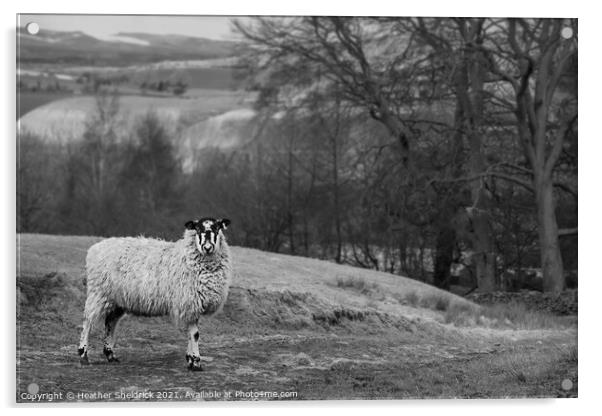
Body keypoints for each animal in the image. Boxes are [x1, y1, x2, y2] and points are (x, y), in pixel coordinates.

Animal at [77, 218, 232, 370]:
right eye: (198, 229)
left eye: (217, 228)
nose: (207, 247)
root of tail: (95, 248)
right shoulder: (189, 302)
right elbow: (195, 335)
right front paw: (196, 362)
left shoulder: (192, 305)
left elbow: (190, 334)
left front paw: (190, 359)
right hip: (98, 293)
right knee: (87, 321)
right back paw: (83, 355)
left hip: (117, 299)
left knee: (110, 322)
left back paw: (110, 355)